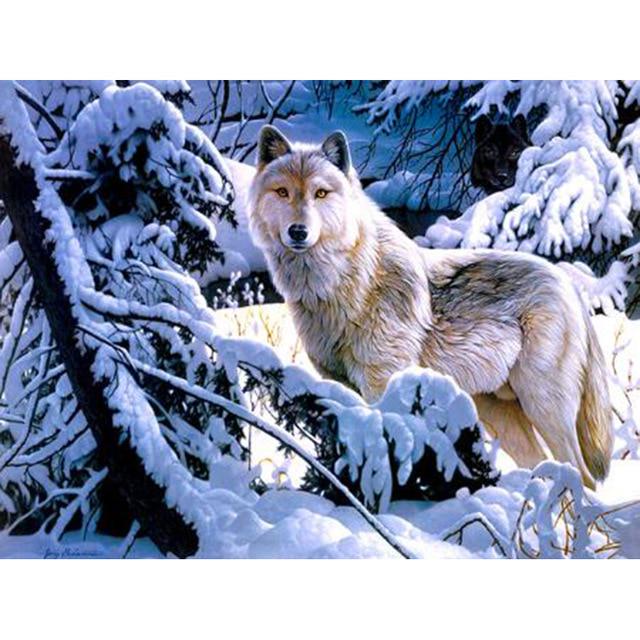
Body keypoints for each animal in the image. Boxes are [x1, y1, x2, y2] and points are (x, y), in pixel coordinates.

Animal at [248, 125, 614, 489]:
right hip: (499, 413)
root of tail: (568, 284)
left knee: (583, 477)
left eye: (321, 193)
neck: (344, 284)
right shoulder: (339, 386)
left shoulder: (383, 383)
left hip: (543, 407)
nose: (298, 231)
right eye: (282, 192)